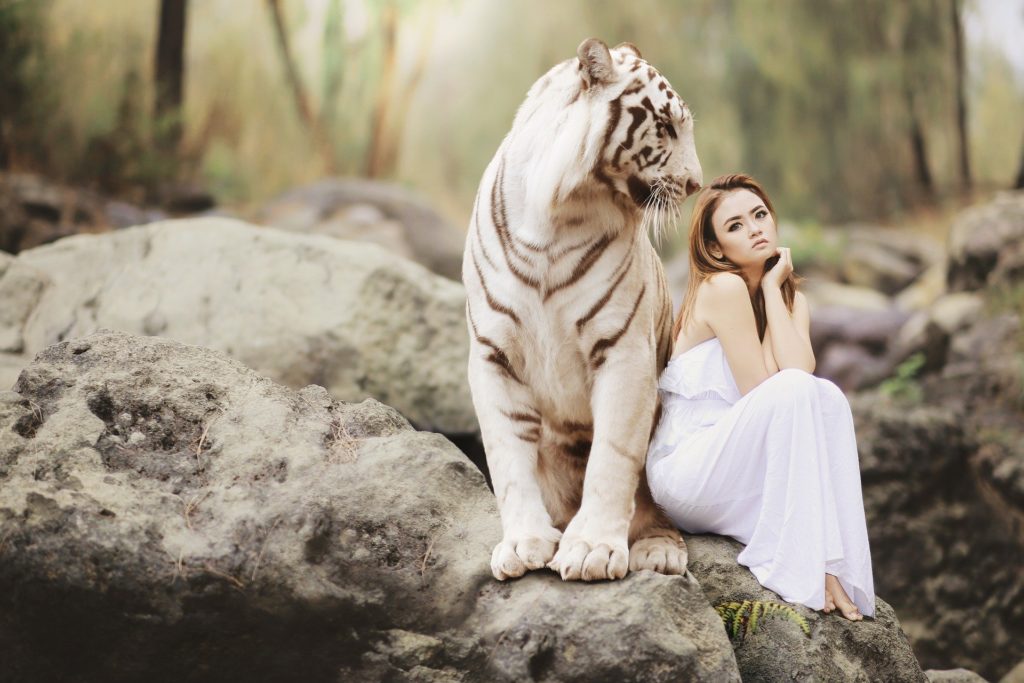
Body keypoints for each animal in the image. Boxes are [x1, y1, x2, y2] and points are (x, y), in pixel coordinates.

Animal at [464, 38, 704, 581]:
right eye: (666, 126)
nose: (697, 184)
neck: (557, 213)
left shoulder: (624, 350)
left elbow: (612, 456)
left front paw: (592, 548)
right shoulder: (492, 355)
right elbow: (507, 457)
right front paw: (524, 544)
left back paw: (658, 551)